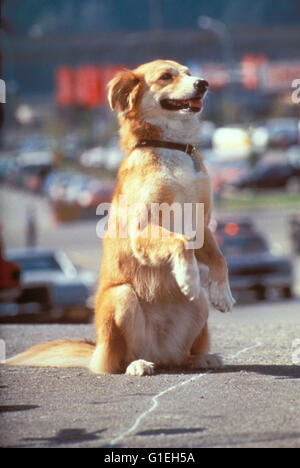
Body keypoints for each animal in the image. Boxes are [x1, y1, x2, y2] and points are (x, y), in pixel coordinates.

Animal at [3, 59, 236, 376]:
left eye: (189, 73)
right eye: (166, 76)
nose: (204, 83)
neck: (170, 147)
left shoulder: (201, 225)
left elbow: (218, 257)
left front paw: (223, 293)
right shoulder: (142, 230)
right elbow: (179, 242)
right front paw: (187, 275)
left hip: (197, 305)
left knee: (181, 353)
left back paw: (199, 358)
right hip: (121, 298)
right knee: (119, 361)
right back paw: (137, 364)